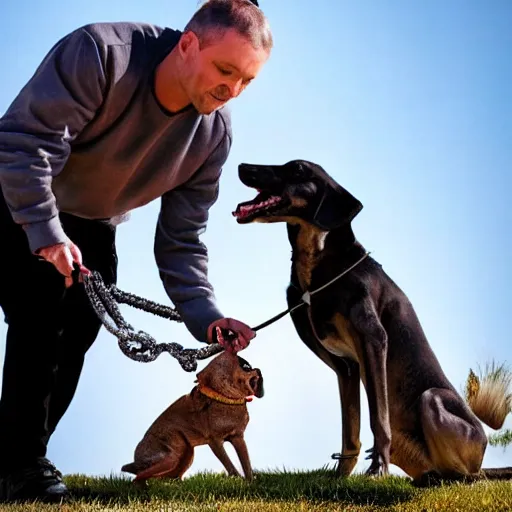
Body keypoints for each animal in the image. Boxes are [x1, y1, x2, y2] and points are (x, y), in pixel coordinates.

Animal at [121, 350, 264, 482]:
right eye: (246, 367)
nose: (258, 369)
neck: (225, 398)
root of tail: (136, 461)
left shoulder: (238, 438)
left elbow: (246, 464)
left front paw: (250, 482)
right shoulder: (215, 441)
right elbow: (230, 465)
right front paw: (239, 480)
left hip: (187, 453)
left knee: (169, 477)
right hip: (170, 458)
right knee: (138, 478)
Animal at [234, 159, 510, 484]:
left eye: (298, 169)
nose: (242, 165)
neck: (318, 272)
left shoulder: (373, 340)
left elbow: (378, 419)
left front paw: (377, 469)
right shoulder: (346, 366)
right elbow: (350, 432)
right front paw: (340, 477)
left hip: (433, 400)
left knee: (465, 474)